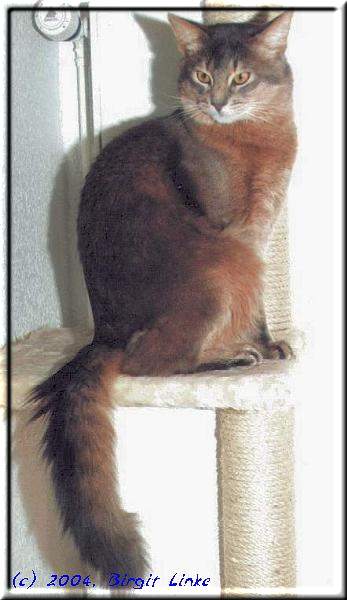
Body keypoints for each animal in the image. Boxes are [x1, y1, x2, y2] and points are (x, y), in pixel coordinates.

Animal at [28, 11, 298, 588]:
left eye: (241, 77)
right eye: (203, 77)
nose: (217, 102)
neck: (250, 136)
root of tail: (102, 333)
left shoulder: (261, 232)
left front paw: (271, 344)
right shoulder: (243, 238)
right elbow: (257, 302)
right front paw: (263, 344)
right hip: (219, 268)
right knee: (148, 363)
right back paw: (228, 359)